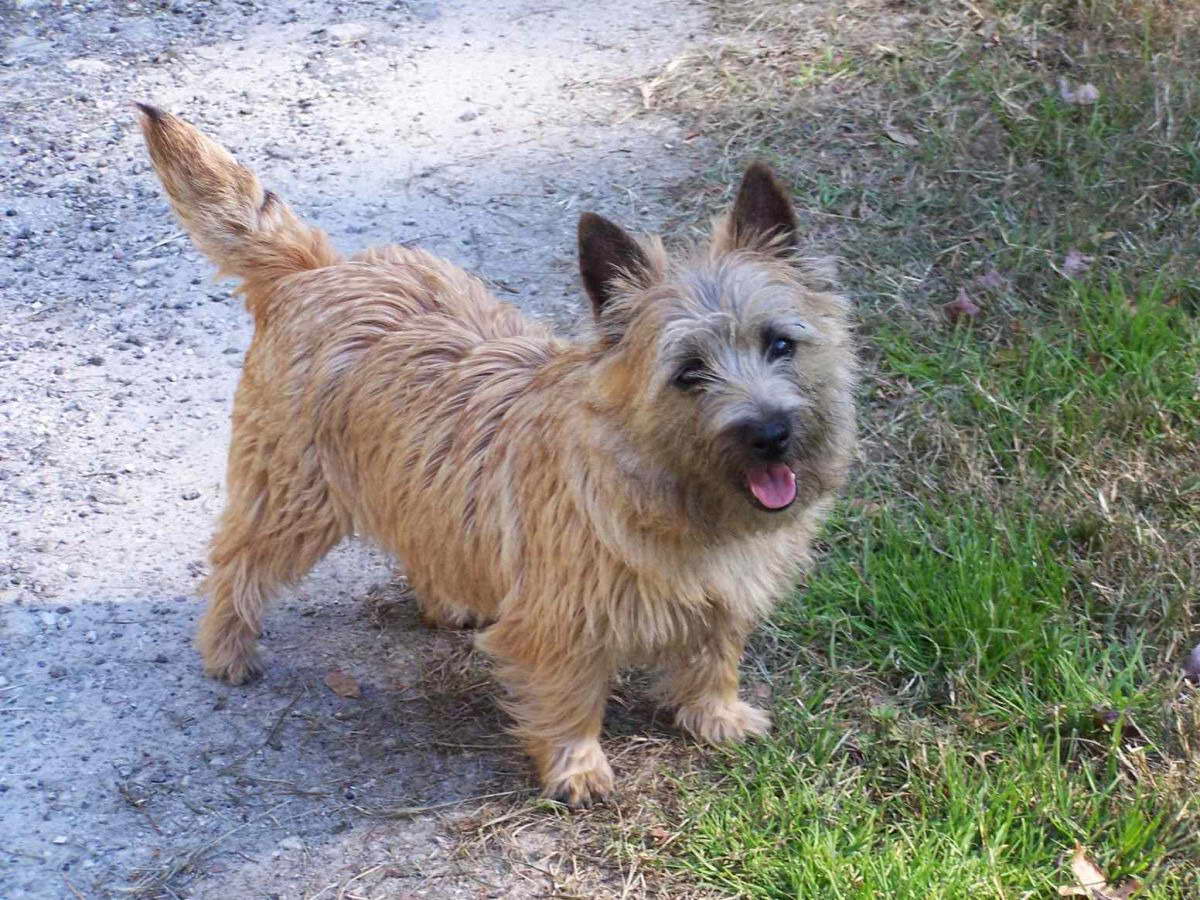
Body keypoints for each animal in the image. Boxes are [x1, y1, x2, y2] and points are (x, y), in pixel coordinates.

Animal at [138, 107, 854, 811]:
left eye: (780, 343)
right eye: (689, 372)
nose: (770, 432)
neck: (676, 498)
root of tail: (314, 269)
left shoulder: (724, 596)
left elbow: (713, 653)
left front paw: (718, 715)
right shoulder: (560, 623)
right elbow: (569, 694)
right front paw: (577, 767)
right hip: (292, 496)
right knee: (238, 558)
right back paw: (227, 647)